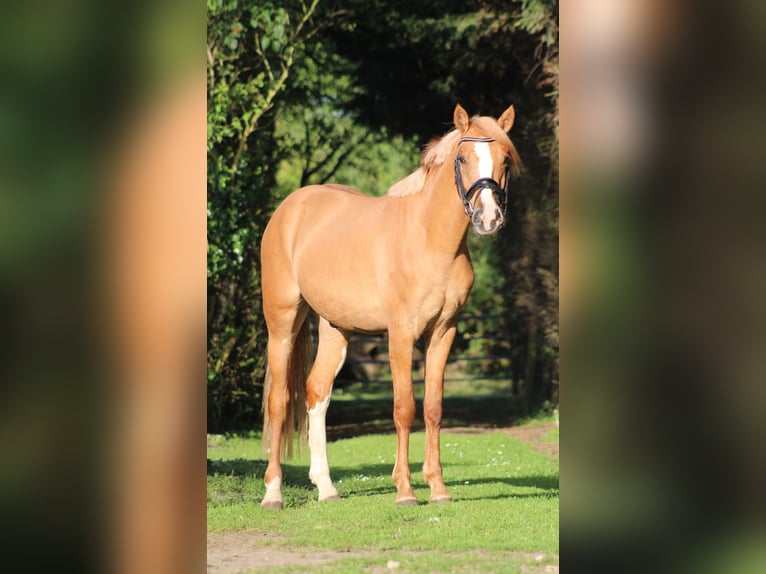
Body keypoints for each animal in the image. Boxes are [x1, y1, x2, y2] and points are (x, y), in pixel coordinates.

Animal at [259, 103, 521, 509]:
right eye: (462, 158)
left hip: (336, 328)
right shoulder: (401, 335)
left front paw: (439, 489)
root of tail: (290, 209)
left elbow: (433, 408)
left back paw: (326, 488)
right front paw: (406, 491)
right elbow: (404, 408)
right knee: (280, 399)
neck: (430, 240)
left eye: (505, 159)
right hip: (282, 323)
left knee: (317, 392)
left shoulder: (443, 333)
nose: (489, 218)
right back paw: (273, 493)